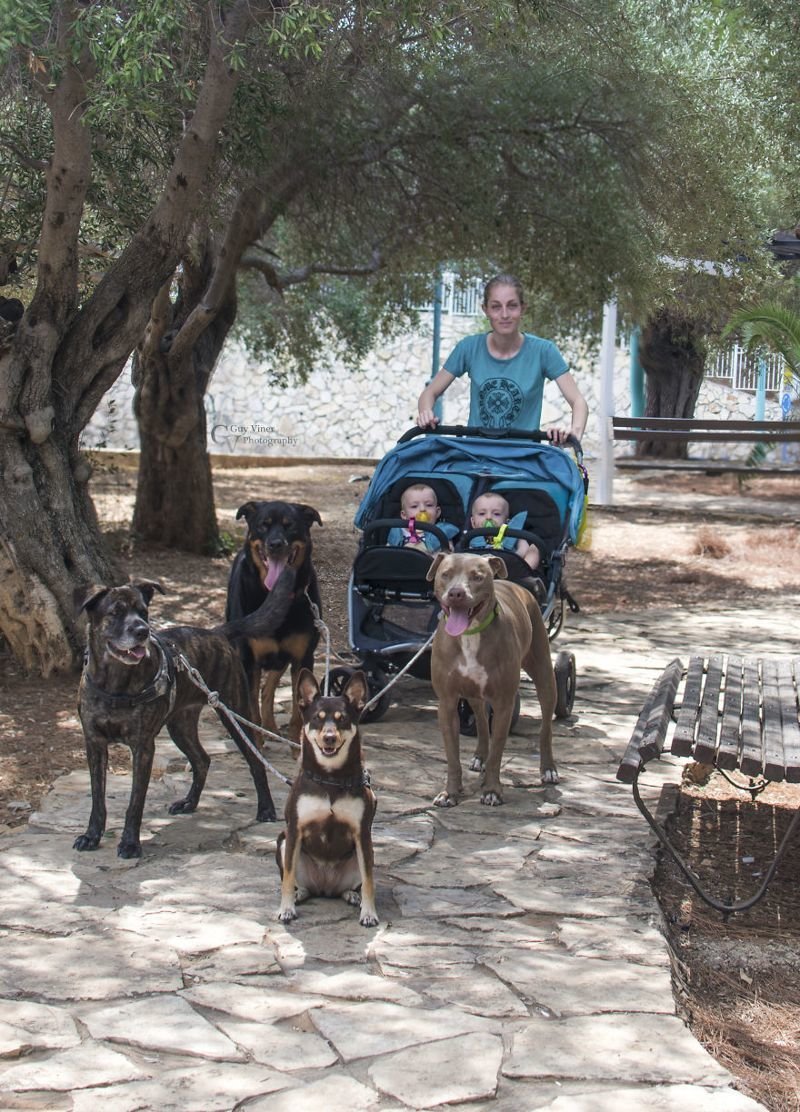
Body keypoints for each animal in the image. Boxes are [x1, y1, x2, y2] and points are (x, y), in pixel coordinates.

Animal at [75, 564, 298, 858]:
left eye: (143, 612)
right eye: (116, 612)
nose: (142, 631)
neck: (115, 682)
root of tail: (216, 633)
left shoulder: (143, 747)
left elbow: (135, 802)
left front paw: (130, 843)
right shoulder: (94, 743)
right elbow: (97, 799)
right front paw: (92, 836)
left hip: (234, 713)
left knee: (255, 760)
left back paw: (266, 808)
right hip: (180, 725)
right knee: (202, 760)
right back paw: (190, 803)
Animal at [224, 500, 322, 742]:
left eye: (290, 525)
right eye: (263, 525)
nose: (275, 544)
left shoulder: (302, 657)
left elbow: (298, 713)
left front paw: (296, 745)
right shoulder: (249, 660)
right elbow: (251, 711)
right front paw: (254, 744)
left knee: (267, 690)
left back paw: (271, 727)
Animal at [275, 662, 378, 925]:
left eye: (343, 720)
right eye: (317, 719)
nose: (329, 738)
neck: (331, 779)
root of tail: (325, 888)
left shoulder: (362, 834)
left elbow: (369, 881)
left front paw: (369, 913)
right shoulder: (294, 830)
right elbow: (287, 877)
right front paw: (286, 908)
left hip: (365, 853)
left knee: (354, 884)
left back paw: (351, 895)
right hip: (283, 841)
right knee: (297, 882)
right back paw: (299, 894)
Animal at [425, 553, 556, 809]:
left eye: (477, 577)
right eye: (446, 574)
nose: (456, 593)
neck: (470, 635)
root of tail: (518, 586)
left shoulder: (504, 703)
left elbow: (498, 751)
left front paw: (492, 791)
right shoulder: (447, 702)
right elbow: (452, 756)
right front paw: (450, 792)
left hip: (545, 674)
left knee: (546, 726)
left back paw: (548, 769)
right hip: (474, 694)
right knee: (481, 720)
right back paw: (479, 757)